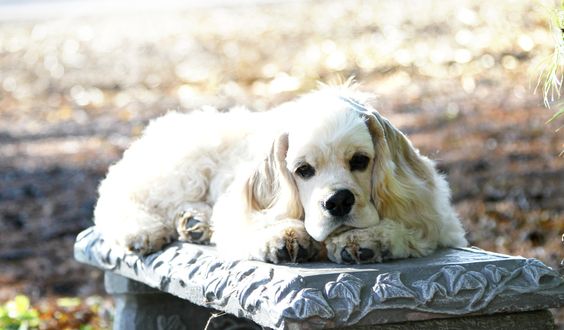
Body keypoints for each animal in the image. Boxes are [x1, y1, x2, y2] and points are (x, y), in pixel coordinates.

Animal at [94, 86, 468, 264]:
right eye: (303, 171)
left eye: (361, 161)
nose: (338, 201)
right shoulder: (241, 211)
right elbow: (259, 224)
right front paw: (284, 237)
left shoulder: (433, 215)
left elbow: (409, 228)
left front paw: (368, 240)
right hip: (178, 171)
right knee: (116, 202)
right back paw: (145, 231)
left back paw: (194, 223)